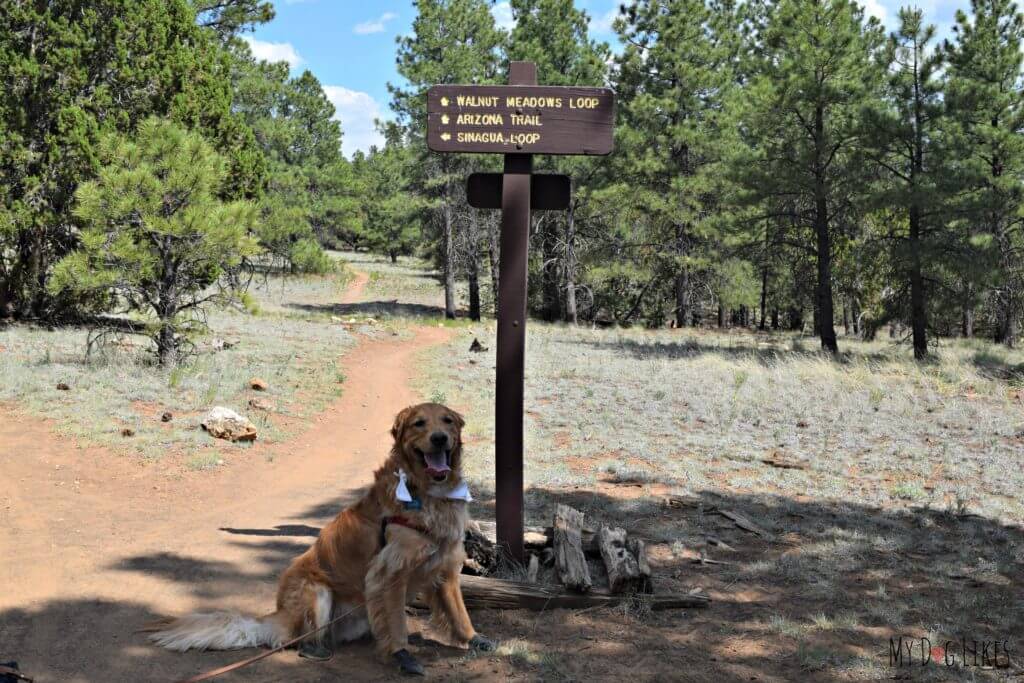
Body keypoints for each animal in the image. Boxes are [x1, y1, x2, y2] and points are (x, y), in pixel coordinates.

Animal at [150, 403, 495, 675]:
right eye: (419, 423)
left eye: (447, 421)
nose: (439, 438)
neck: (426, 491)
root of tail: (278, 617)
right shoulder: (389, 573)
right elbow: (397, 621)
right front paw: (402, 655)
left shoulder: (445, 567)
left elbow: (458, 612)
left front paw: (474, 639)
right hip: (316, 591)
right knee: (298, 639)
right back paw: (316, 650)